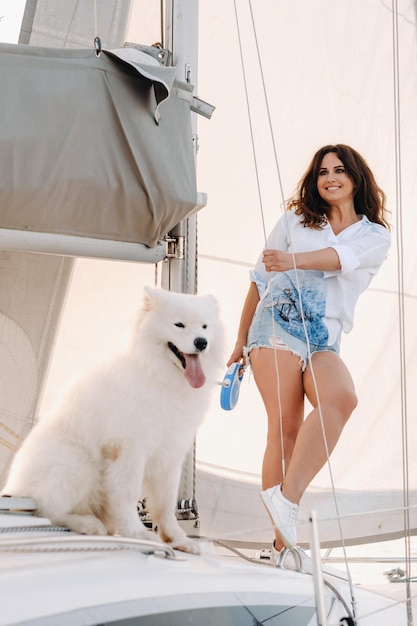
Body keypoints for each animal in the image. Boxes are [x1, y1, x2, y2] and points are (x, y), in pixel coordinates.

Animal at [2, 286, 224, 552]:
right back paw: (89, 524)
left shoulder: (170, 454)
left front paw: (179, 540)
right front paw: (137, 534)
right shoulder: (128, 449)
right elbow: (127, 495)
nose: (201, 342)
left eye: (204, 326)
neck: (160, 377)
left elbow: (165, 505)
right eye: (179, 324)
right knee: (46, 510)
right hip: (77, 464)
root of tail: (14, 488)